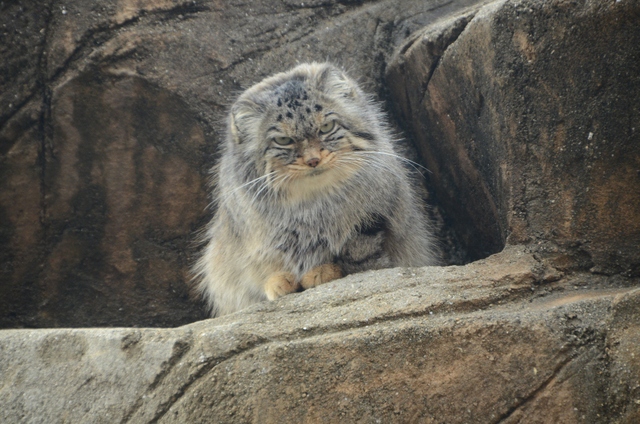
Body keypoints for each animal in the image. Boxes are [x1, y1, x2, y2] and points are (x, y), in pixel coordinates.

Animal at [192, 62, 438, 314]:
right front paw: (278, 279)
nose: (312, 160)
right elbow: (264, 263)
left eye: (326, 127)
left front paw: (323, 270)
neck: (310, 204)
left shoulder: (371, 220)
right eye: (283, 140)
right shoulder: (253, 238)